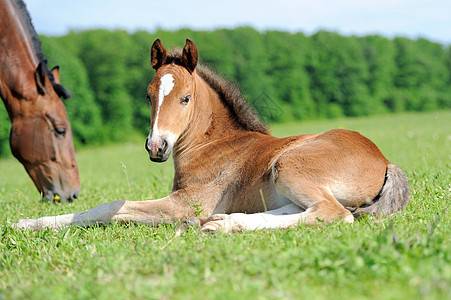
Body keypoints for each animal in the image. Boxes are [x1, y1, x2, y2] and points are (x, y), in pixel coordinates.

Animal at [14, 38, 412, 233]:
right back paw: (217, 223)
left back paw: (222, 224)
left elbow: (111, 207)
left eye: (185, 97)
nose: (156, 147)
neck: (213, 144)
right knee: (305, 210)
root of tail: (384, 160)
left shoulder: (186, 202)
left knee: (334, 214)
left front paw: (26, 224)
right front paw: (26, 222)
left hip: (288, 166)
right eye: (148, 95)